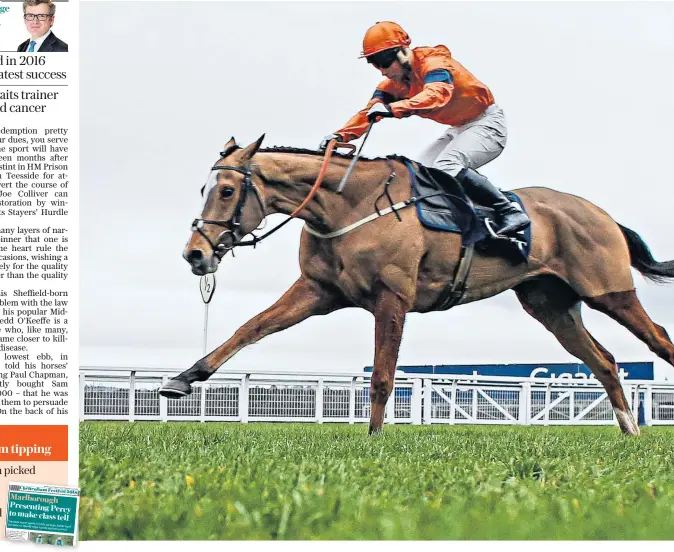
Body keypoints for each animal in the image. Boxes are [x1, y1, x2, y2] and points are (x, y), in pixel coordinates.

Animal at [160, 135, 672, 436]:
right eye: (203, 190)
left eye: (226, 191)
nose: (195, 254)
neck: (349, 206)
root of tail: (603, 214)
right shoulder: (318, 291)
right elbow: (251, 327)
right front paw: (183, 380)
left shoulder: (392, 299)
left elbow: (383, 375)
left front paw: (373, 439)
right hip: (551, 306)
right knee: (604, 361)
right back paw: (629, 431)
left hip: (610, 292)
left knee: (659, 340)